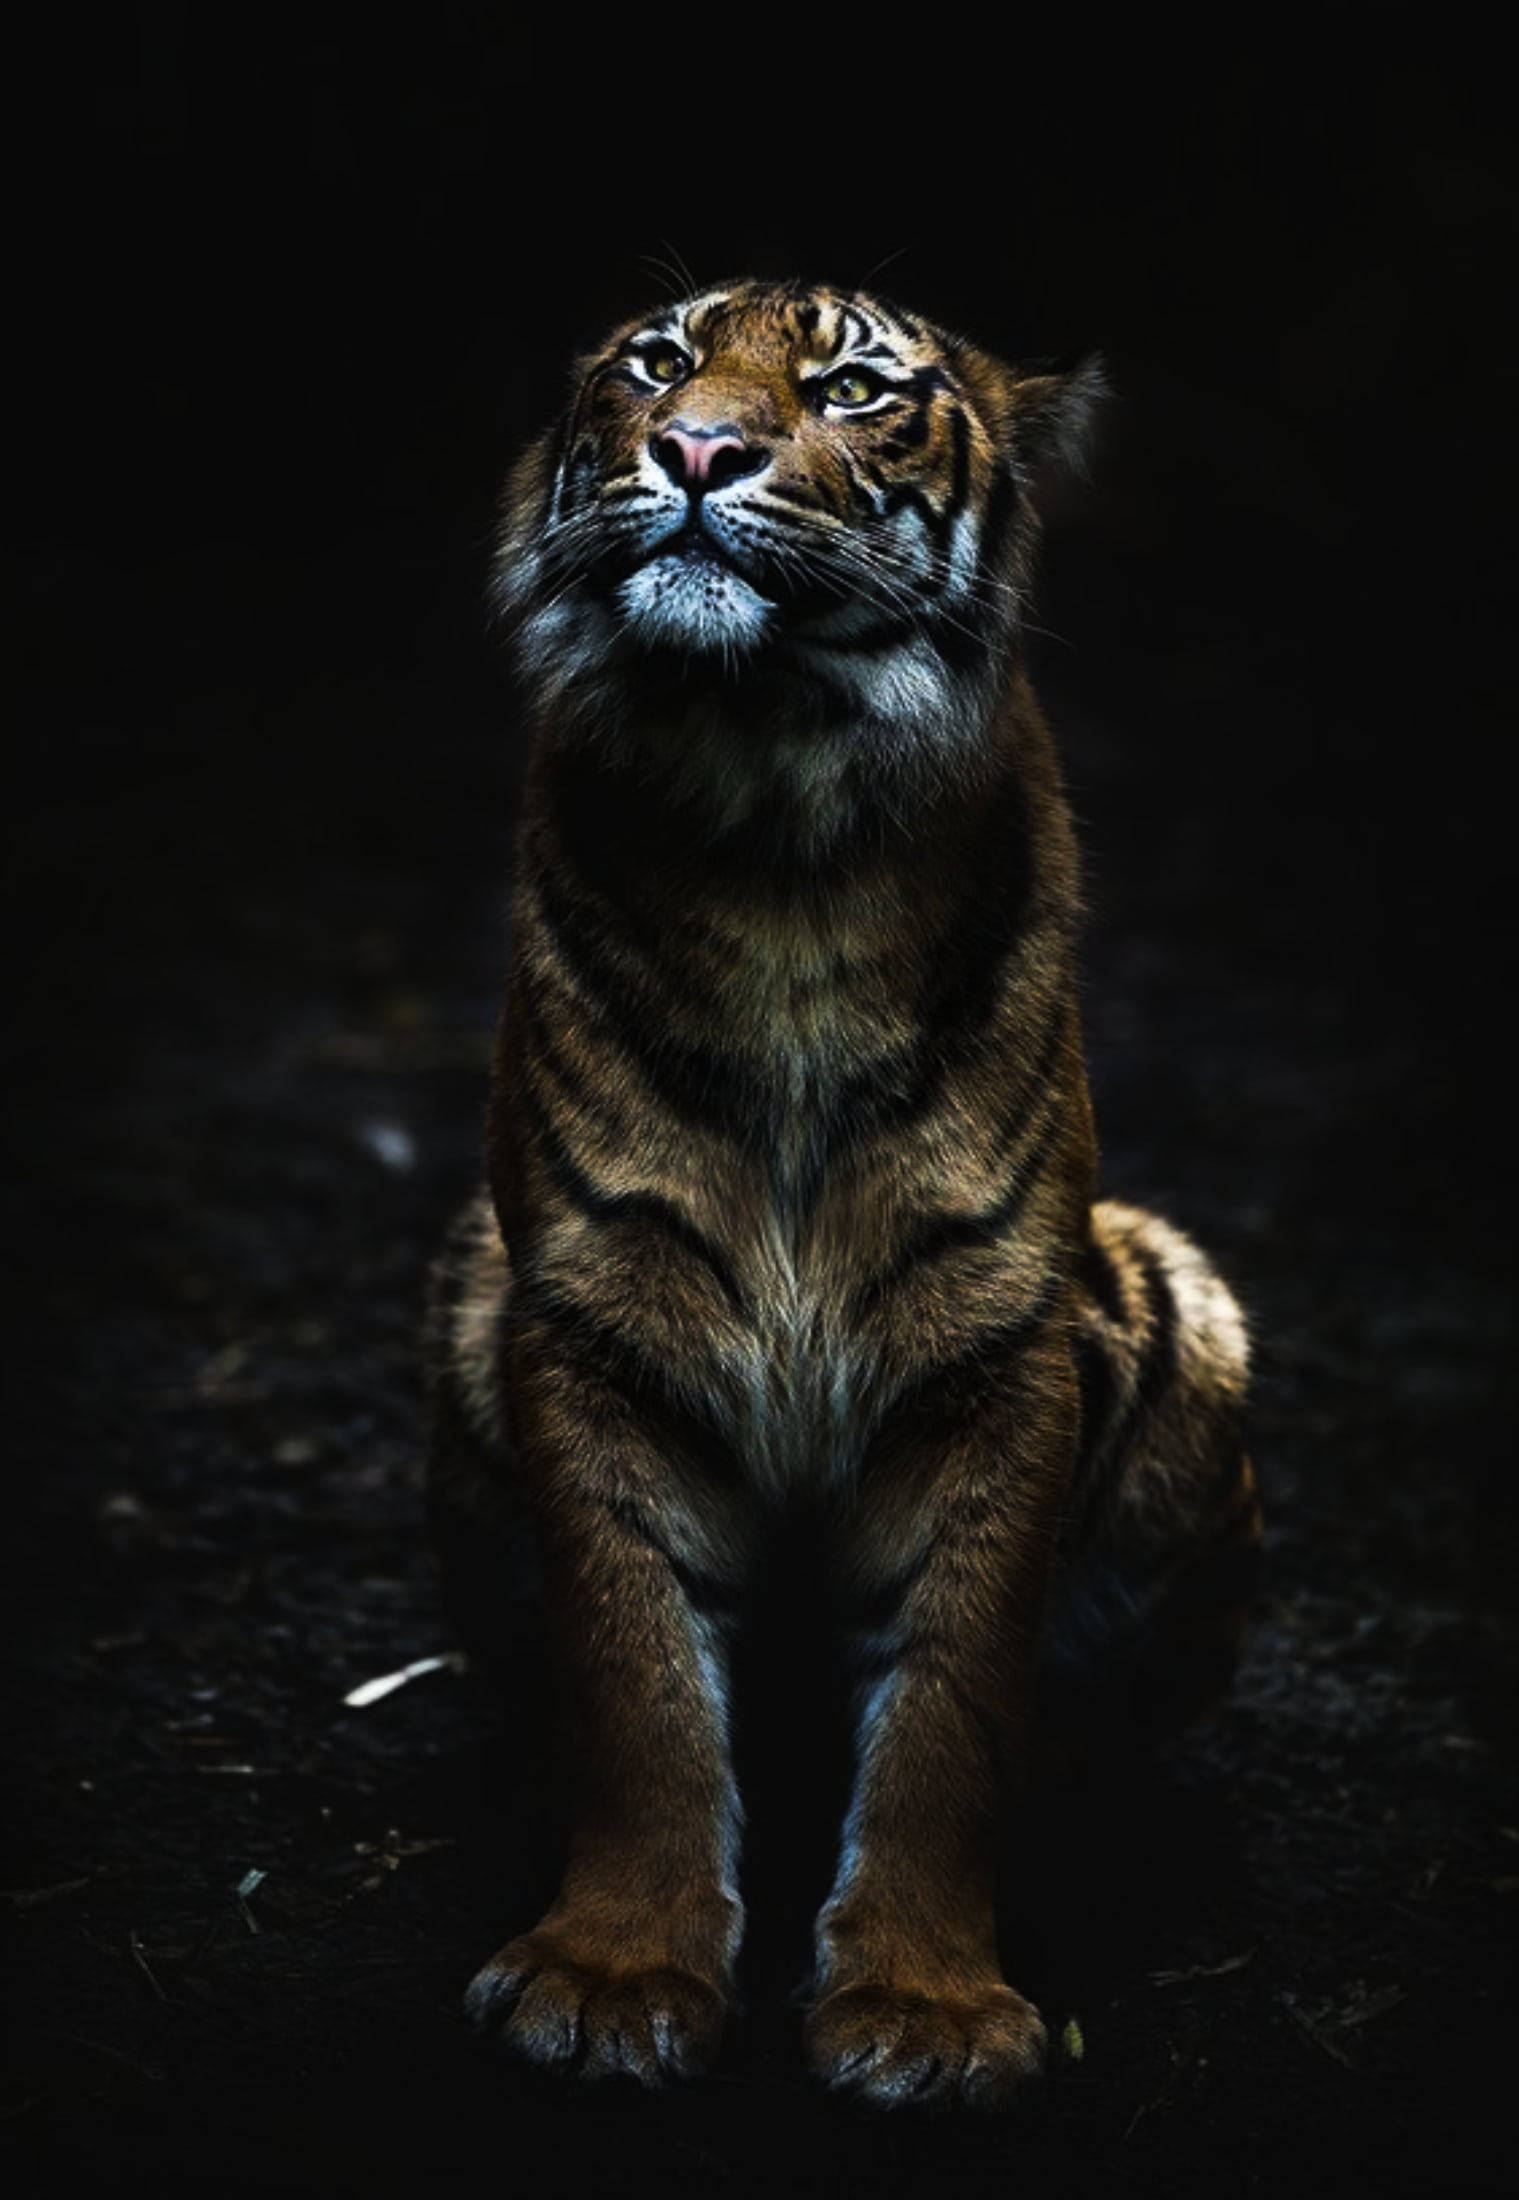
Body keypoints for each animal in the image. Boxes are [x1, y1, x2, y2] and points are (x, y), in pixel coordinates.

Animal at [425, 277, 1258, 2110]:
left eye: (852, 389)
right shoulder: (586, 1318)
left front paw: (926, 2010)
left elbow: (952, 1700)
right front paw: (613, 1976)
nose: (692, 450)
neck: (773, 833)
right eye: (656, 364)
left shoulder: (993, 1344)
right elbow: (638, 1682)